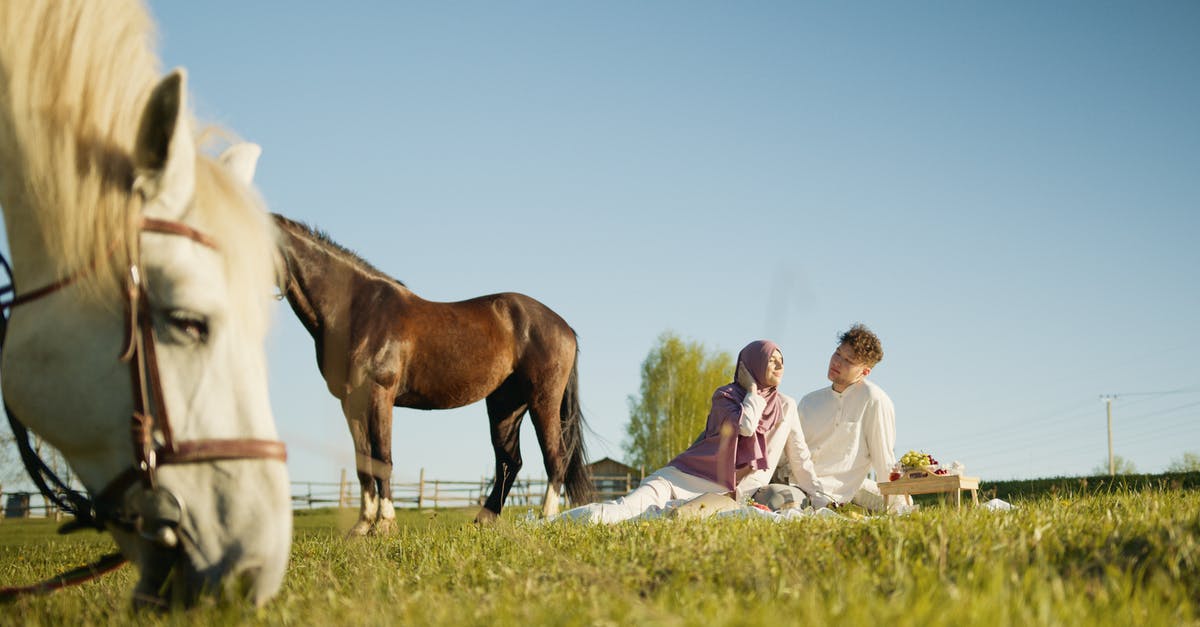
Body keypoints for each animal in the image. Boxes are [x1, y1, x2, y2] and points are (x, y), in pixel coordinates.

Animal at [272, 214, 594, 532]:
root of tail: (564, 326)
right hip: (506, 406)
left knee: (554, 458)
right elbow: (363, 461)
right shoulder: (350, 402)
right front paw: (362, 527)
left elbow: (382, 457)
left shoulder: (379, 394)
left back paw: (546, 519)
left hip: (543, 400)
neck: (360, 312)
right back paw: (483, 520)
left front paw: (385, 524)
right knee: (509, 462)